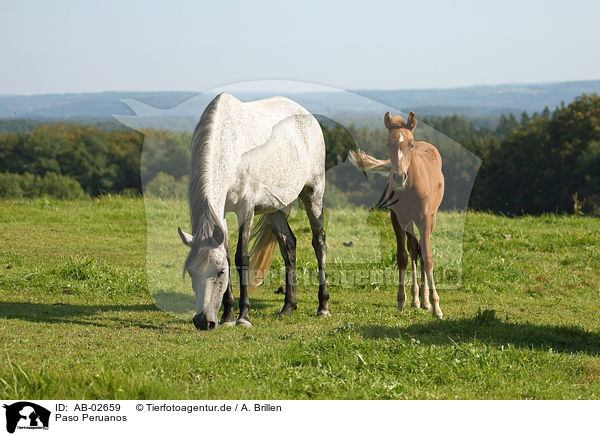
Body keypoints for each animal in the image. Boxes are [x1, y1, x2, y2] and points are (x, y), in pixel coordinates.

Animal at [178, 93, 328, 330]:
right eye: (191, 272)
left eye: (220, 272)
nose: (203, 321)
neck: (230, 145)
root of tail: (306, 114)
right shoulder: (221, 213)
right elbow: (228, 254)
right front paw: (228, 315)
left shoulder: (245, 208)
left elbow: (242, 257)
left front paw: (243, 316)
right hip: (276, 208)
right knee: (289, 245)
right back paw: (288, 307)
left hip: (313, 193)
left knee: (319, 242)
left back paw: (323, 306)